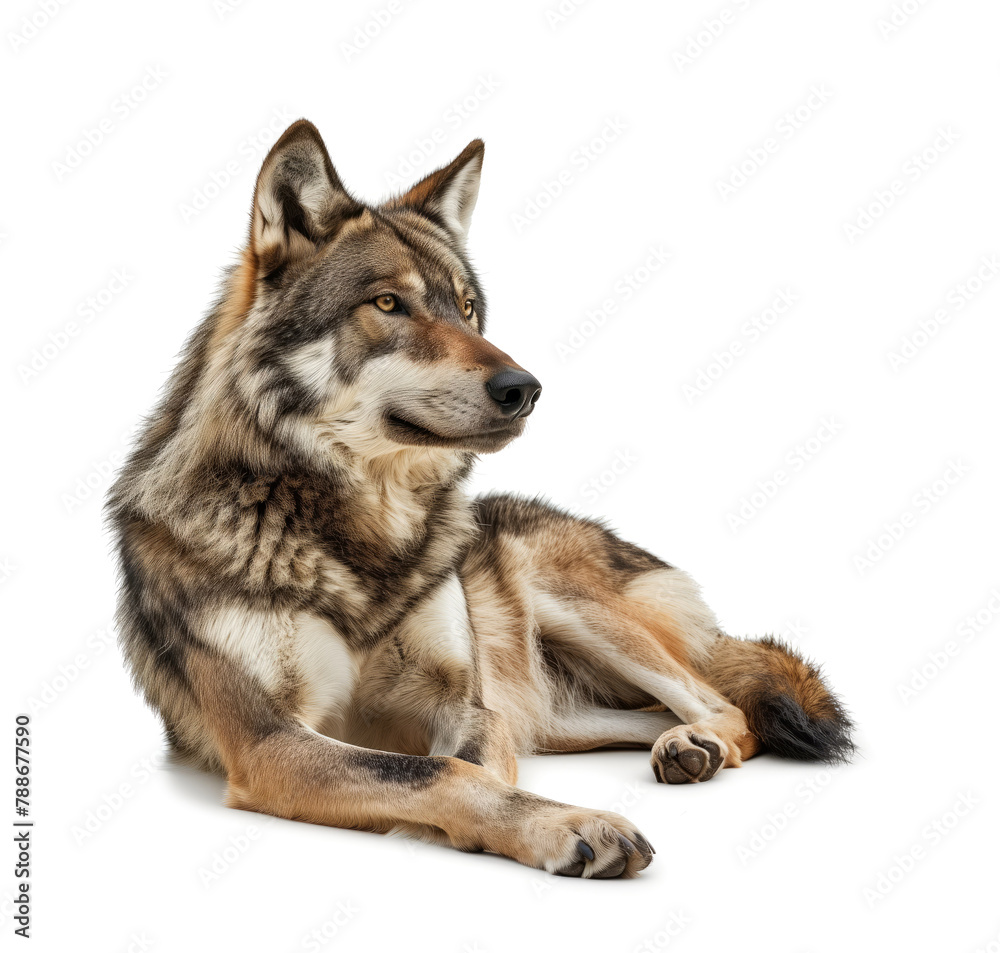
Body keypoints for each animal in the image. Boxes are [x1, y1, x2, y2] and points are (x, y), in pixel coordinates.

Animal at [108, 119, 853, 878]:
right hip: (558, 713)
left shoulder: (464, 706)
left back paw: (691, 745)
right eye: (388, 303)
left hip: (578, 613)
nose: (525, 388)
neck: (366, 535)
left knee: (728, 706)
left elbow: (463, 766)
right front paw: (554, 825)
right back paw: (681, 746)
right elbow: (439, 773)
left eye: (467, 309)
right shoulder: (269, 740)